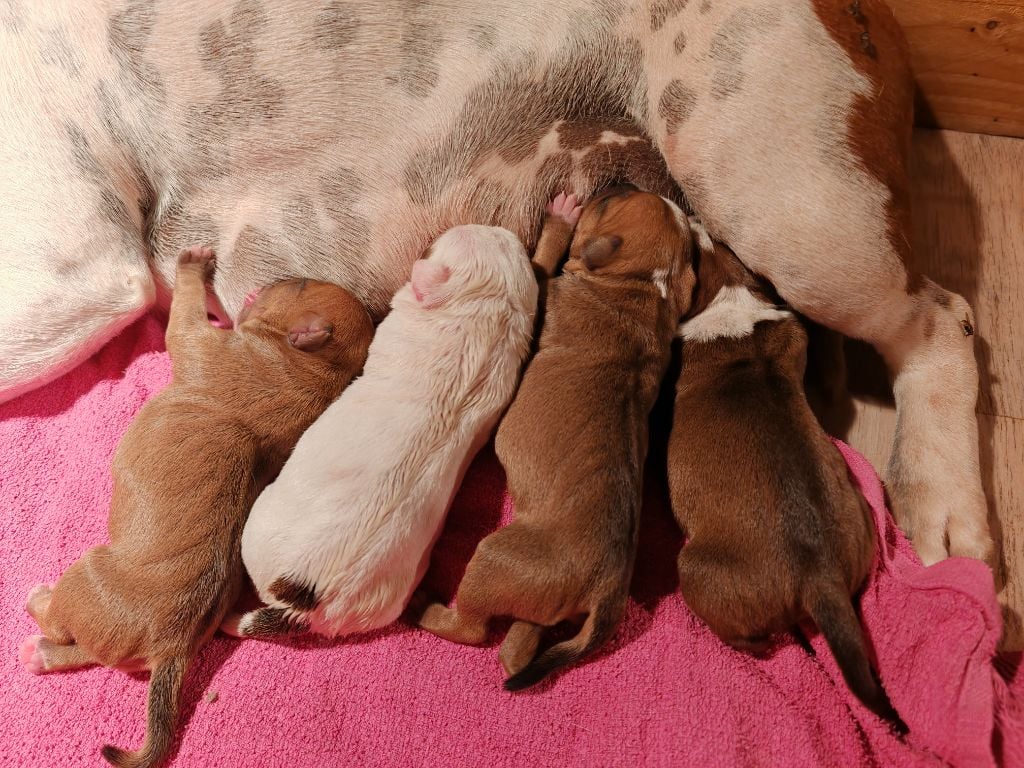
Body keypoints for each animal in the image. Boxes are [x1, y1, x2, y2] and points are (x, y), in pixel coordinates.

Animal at [18, 246, 372, 768]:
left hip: (85, 577)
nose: (271, 279)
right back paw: (39, 653)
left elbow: (183, 312)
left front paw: (193, 264)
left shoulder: (195, 339)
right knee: (86, 652)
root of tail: (173, 649)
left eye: (300, 284)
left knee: (65, 627)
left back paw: (38, 605)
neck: (320, 370)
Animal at [415, 186, 696, 692]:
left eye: (607, 204)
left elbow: (542, 260)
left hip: (494, 558)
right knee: (517, 648)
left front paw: (562, 219)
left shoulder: (545, 288)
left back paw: (425, 607)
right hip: (539, 598)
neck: (645, 286)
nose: (613, 185)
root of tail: (606, 591)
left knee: (472, 629)